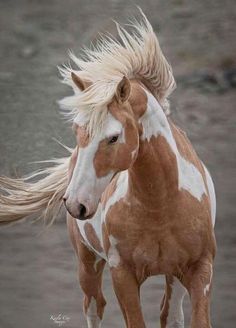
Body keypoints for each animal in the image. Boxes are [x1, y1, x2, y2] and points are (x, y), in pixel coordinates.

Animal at [0, 10, 216, 328]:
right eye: (77, 131)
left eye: (113, 137)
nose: (76, 204)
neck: (160, 208)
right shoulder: (122, 274)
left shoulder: (199, 270)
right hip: (86, 262)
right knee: (94, 306)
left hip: (173, 277)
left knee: (170, 313)